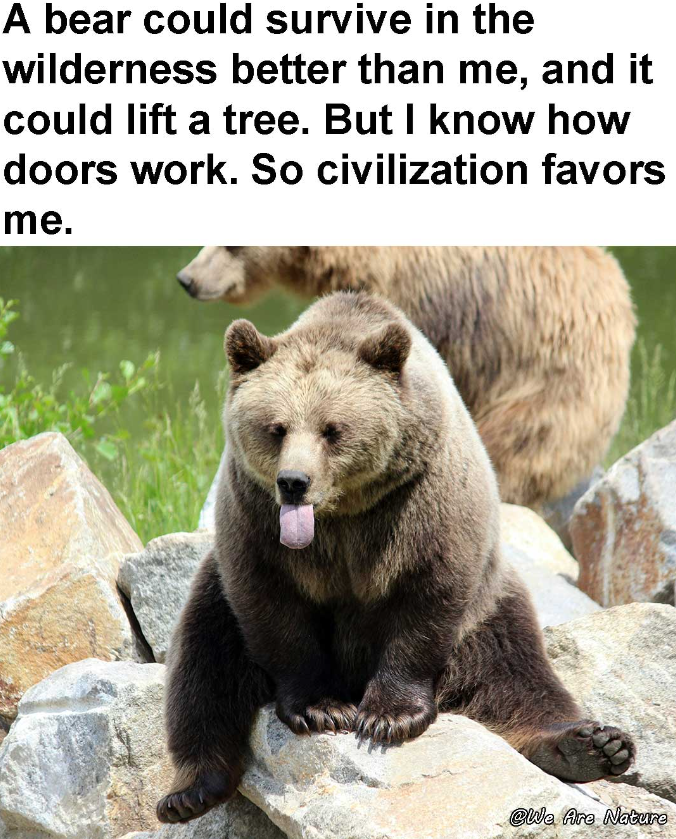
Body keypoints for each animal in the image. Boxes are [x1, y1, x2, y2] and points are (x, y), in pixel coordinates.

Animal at [156, 291, 635, 825]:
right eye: (276, 428)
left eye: (332, 429)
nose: (294, 482)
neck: (344, 510)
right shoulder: (255, 520)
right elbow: (274, 609)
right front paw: (323, 708)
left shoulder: (421, 506)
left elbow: (425, 600)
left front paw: (388, 717)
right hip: (214, 590)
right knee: (202, 665)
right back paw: (191, 790)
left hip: (488, 607)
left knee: (518, 674)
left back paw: (594, 745)